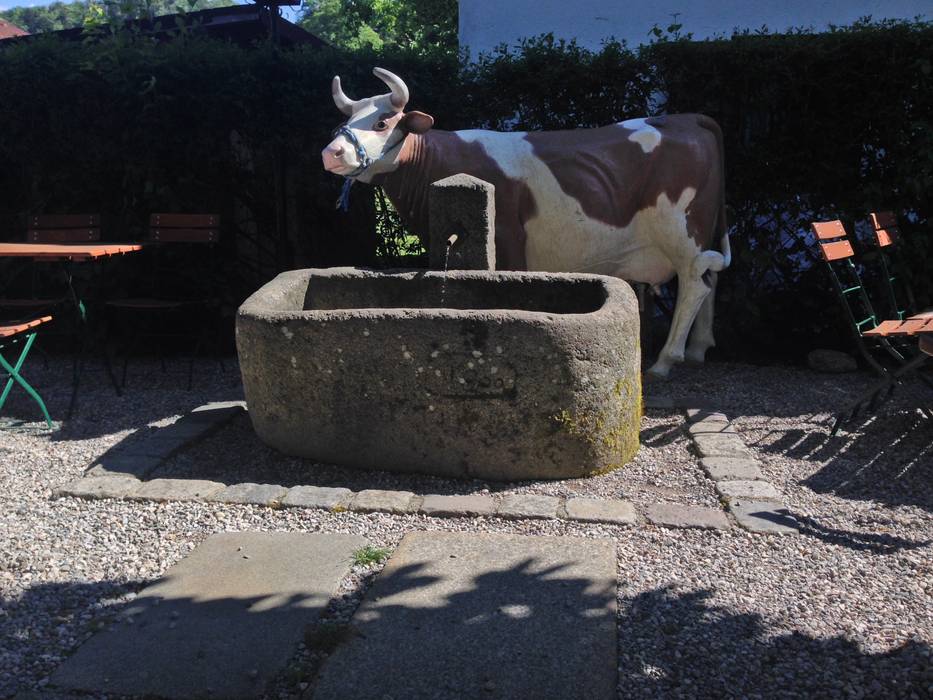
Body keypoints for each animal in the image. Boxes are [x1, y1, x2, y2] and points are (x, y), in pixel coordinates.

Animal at [320, 68, 728, 380]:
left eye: (382, 122)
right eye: (343, 123)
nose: (331, 152)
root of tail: (687, 118)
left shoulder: (508, 239)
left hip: (681, 232)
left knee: (695, 284)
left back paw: (665, 361)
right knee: (711, 278)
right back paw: (699, 348)